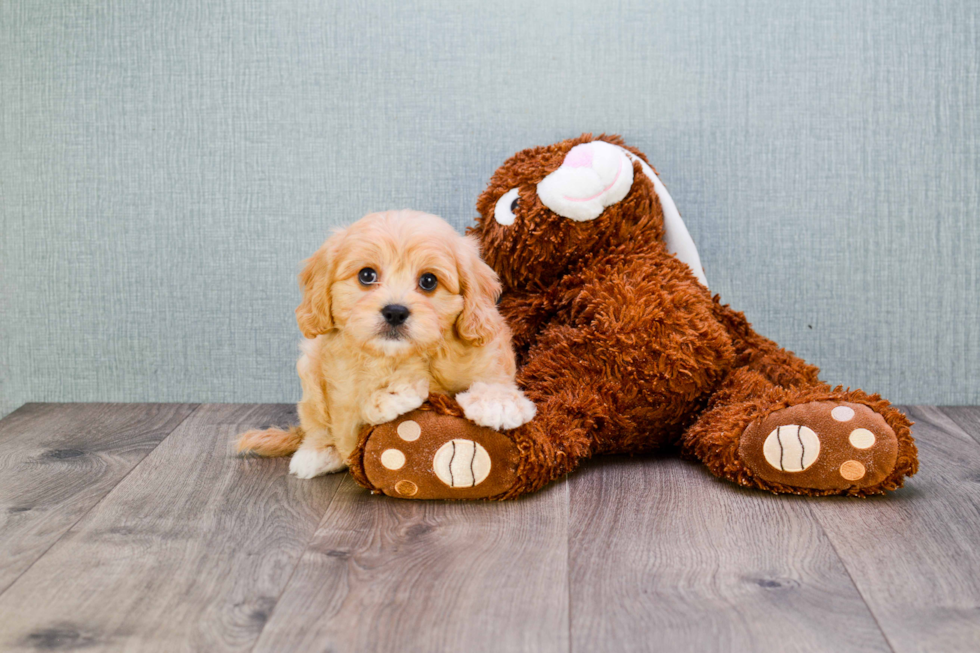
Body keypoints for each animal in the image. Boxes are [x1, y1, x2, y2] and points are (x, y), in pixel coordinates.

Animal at [236, 210, 536, 478]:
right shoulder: (344, 403)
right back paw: (317, 453)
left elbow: (492, 377)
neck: (404, 355)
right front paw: (394, 393)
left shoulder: (488, 352)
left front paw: (497, 402)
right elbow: (357, 420)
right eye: (367, 275)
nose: (395, 312)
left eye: (429, 281)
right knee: (315, 422)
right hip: (310, 366)